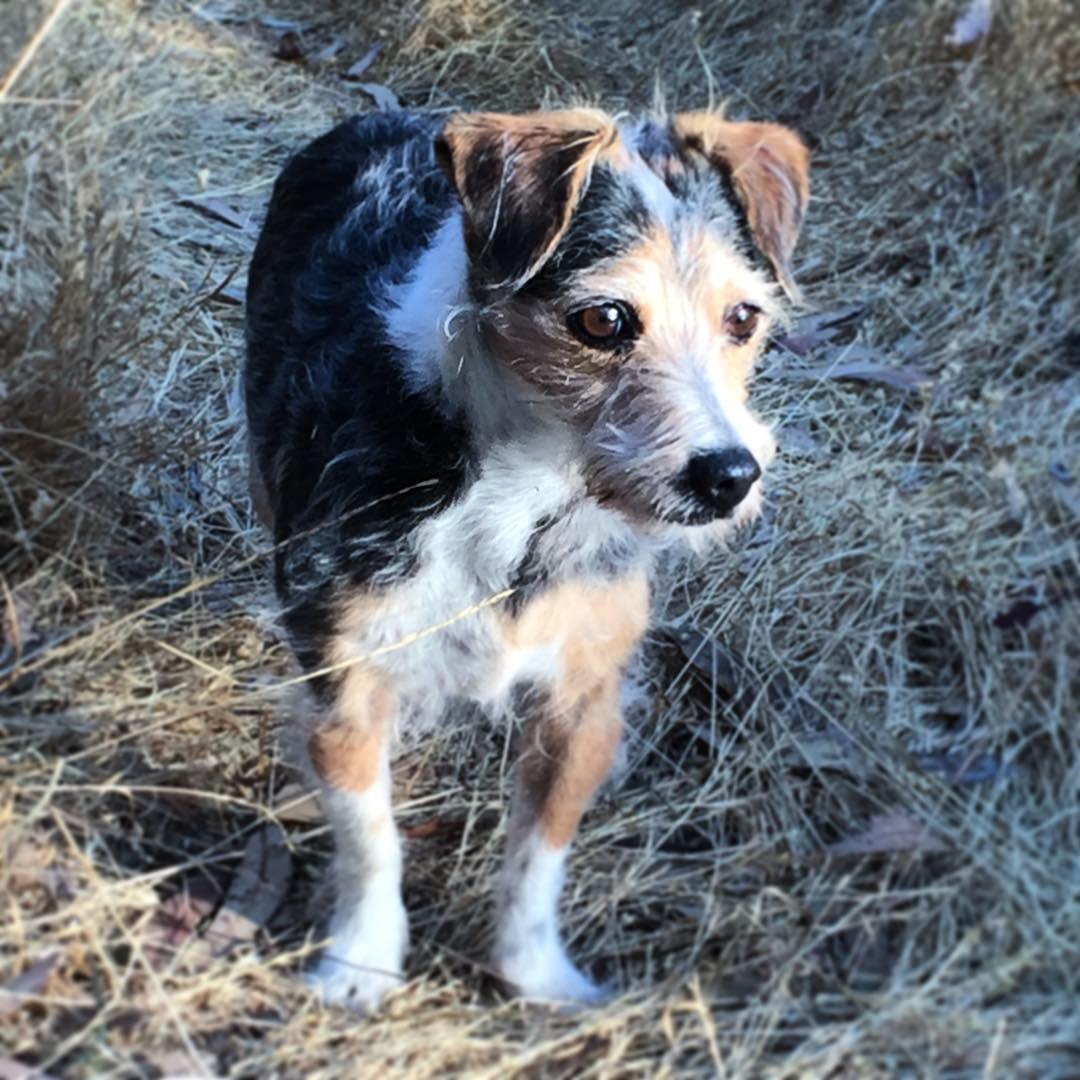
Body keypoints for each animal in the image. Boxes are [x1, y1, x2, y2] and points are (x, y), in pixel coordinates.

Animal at [243, 105, 803, 1006]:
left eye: (743, 319)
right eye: (603, 319)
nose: (728, 475)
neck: (527, 483)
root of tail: (386, 110)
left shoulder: (586, 701)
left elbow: (541, 853)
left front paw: (534, 973)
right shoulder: (349, 676)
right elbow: (370, 837)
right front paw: (362, 960)